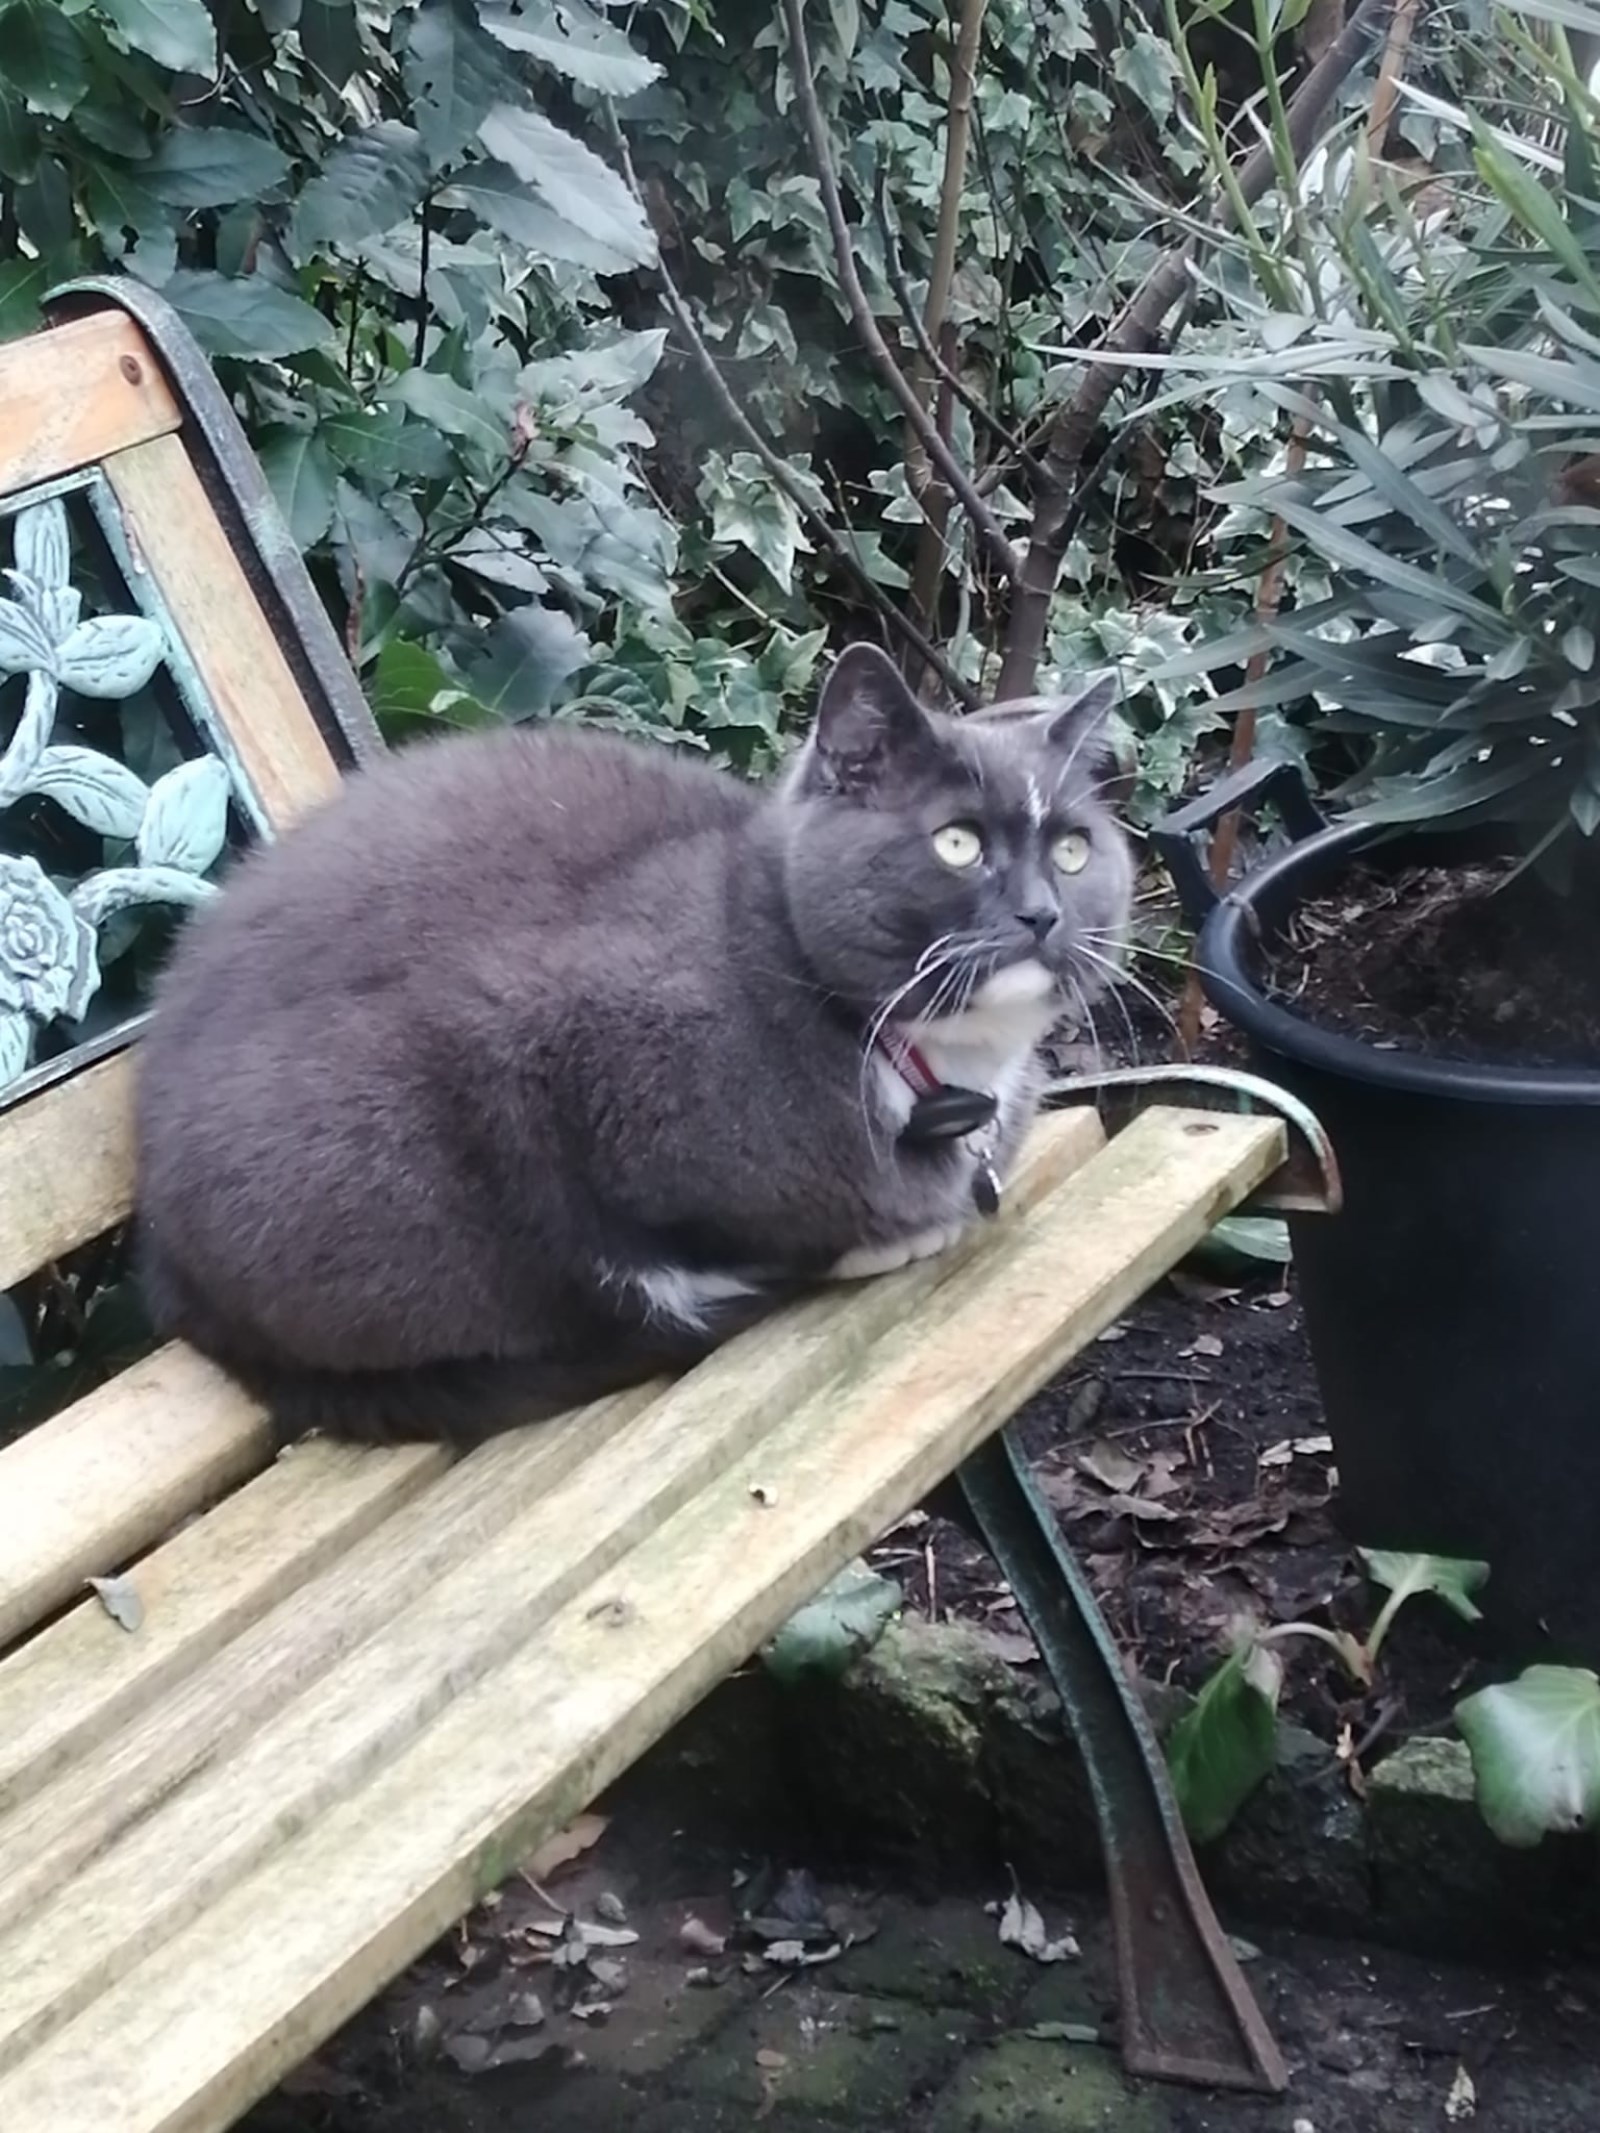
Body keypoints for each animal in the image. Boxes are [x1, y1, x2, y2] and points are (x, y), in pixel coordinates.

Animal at [134, 642, 1133, 1446]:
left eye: (1075, 850)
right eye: (957, 843)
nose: (1041, 913)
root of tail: (176, 1279)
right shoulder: (539, 1038)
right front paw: (867, 1242)